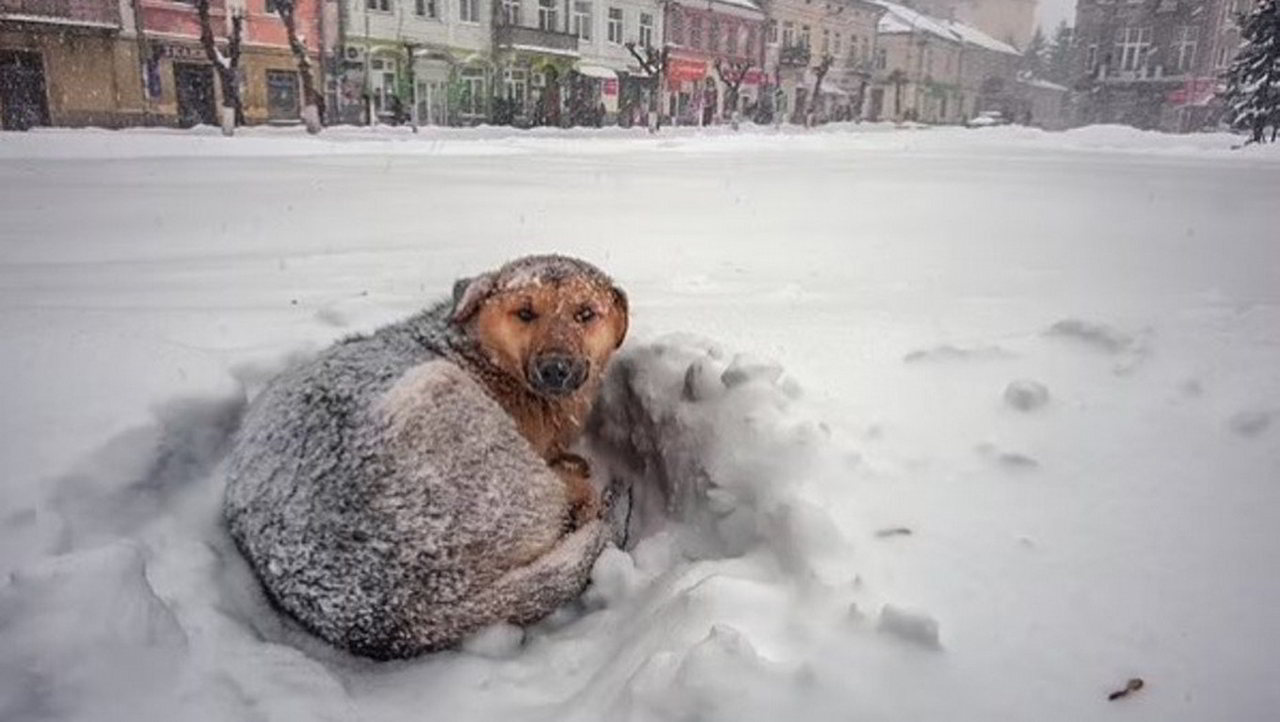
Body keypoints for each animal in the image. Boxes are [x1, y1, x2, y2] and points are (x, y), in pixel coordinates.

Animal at [229, 253, 634, 660]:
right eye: (525, 313)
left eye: (585, 314)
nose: (555, 369)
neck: (482, 355)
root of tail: (399, 616)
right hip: (447, 407)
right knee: (570, 505)